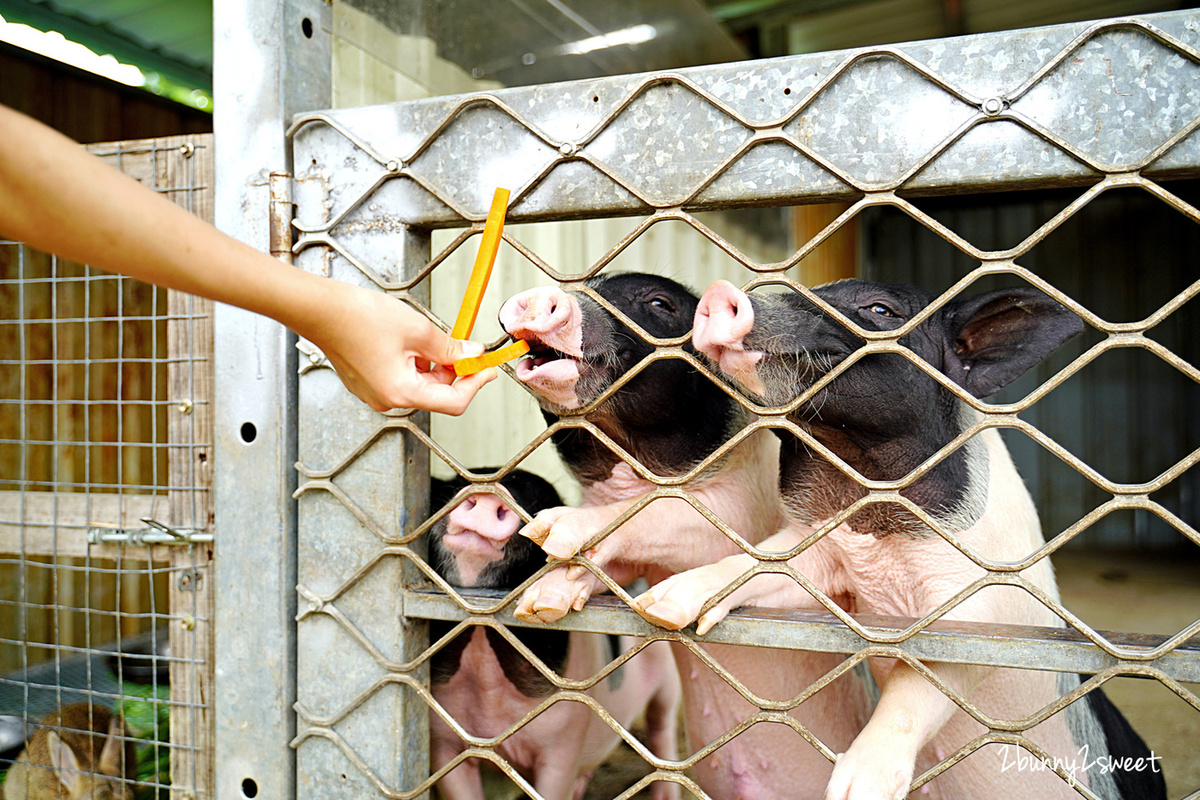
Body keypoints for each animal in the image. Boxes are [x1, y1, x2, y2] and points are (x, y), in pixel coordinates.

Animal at [427, 470, 681, 800]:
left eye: (542, 504)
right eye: (454, 486)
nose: (488, 493)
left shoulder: (563, 739)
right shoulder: (444, 740)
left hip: (669, 675)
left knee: (662, 728)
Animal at [494, 275, 873, 800]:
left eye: (658, 302)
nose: (537, 296)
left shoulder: (737, 516)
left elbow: (661, 516)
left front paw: (550, 530)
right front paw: (542, 602)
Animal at [638, 280, 1171, 800]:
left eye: (880, 309)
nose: (720, 291)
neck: (879, 532)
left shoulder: (990, 608)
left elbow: (920, 682)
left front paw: (854, 789)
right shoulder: (825, 562)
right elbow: (761, 562)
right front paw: (658, 607)